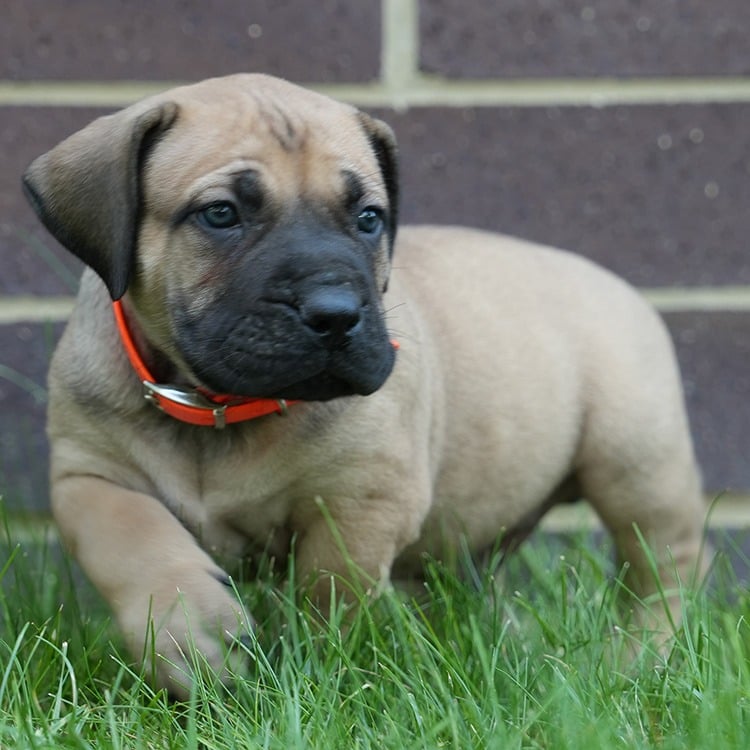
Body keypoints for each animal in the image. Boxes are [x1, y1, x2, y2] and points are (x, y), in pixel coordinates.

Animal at [20, 73, 708, 696]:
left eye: (369, 218)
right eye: (221, 214)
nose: (335, 312)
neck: (217, 408)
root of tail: (617, 284)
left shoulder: (364, 497)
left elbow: (331, 589)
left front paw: (322, 670)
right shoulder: (88, 474)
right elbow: (130, 539)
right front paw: (194, 632)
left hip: (637, 463)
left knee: (664, 564)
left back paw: (643, 659)